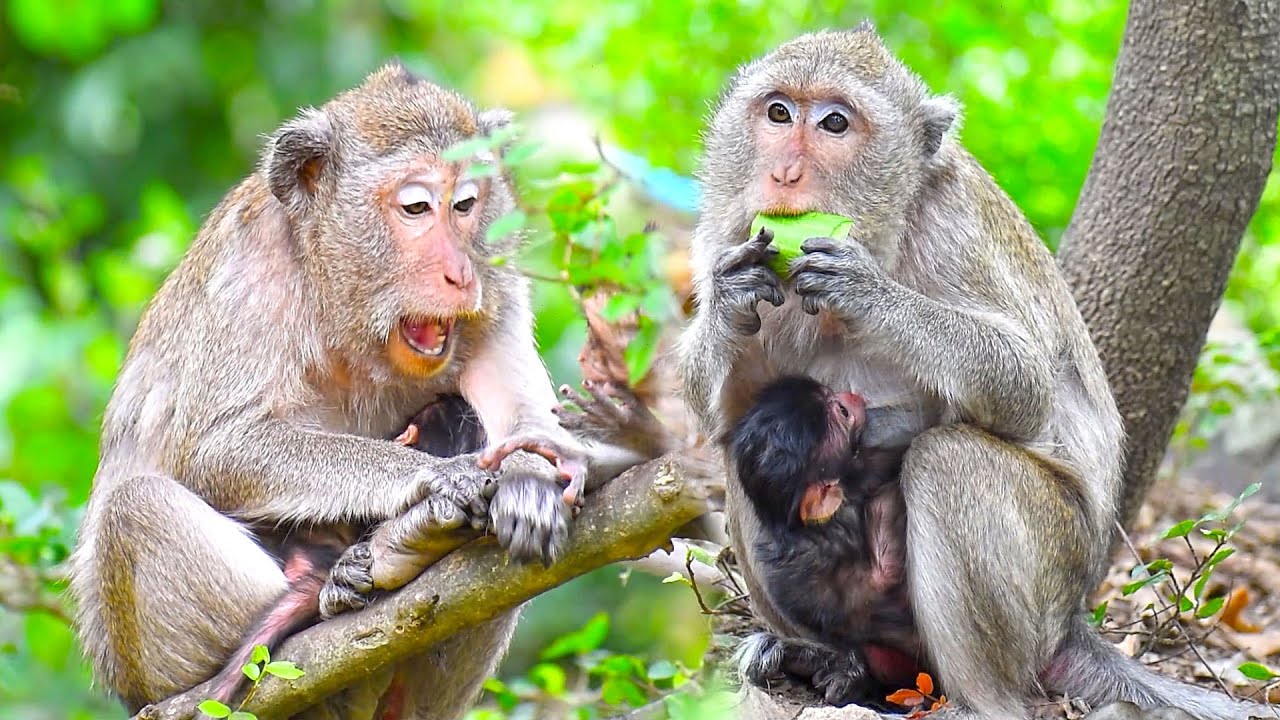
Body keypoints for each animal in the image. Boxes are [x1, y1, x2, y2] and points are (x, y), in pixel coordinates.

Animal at [67, 63, 591, 720]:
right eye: (417, 207)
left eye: (466, 204)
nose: (459, 273)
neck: (339, 298)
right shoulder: (249, 276)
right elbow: (212, 449)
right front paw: (435, 477)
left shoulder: (496, 278)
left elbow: (518, 404)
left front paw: (530, 479)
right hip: (161, 668)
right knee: (134, 507)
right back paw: (348, 577)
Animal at [676, 24, 1268, 720]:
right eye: (777, 113)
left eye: (834, 123)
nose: (784, 172)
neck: (887, 226)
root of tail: (1072, 621)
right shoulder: (726, 230)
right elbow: (729, 404)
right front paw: (730, 297)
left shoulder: (953, 230)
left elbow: (1025, 383)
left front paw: (868, 294)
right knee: (736, 441)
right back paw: (815, 655)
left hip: (1052, 569)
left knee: (949, 458)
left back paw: (982, 700)